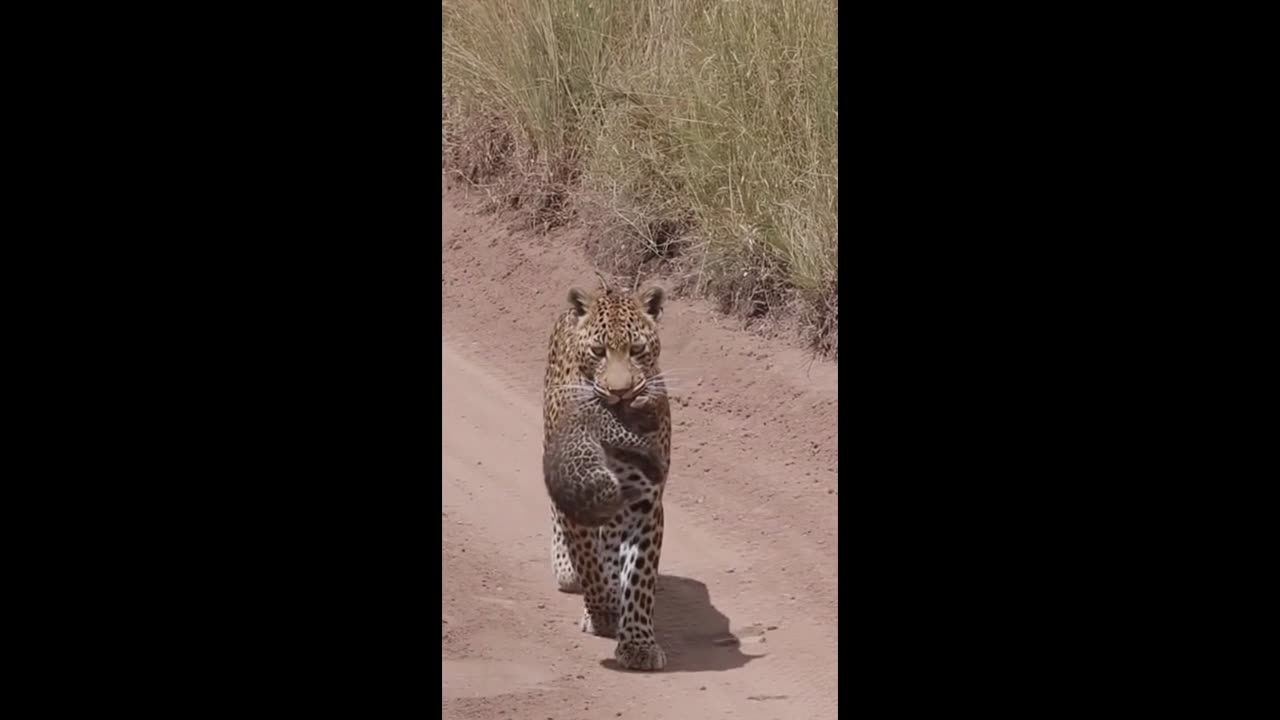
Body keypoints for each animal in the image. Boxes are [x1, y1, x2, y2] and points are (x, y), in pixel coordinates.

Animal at [542, 275, 672, 671]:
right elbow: (589, 562)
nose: (621, 392)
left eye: (637, 349)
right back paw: (569, 570)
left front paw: (639, 642)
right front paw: (602, 611)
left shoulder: (646, 502)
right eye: (598, 351)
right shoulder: (578, 490)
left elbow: (640, 576)